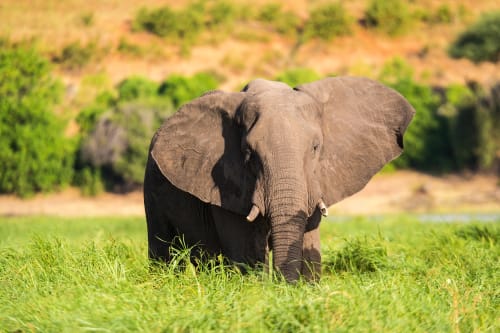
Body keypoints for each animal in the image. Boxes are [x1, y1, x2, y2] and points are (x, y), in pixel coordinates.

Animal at [144, 76, 414, 282]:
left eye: (315, 148)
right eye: (249, 153)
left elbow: (309, 241)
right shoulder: (227, 185)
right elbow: (248, 251)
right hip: (151, 184)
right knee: (164, 248)